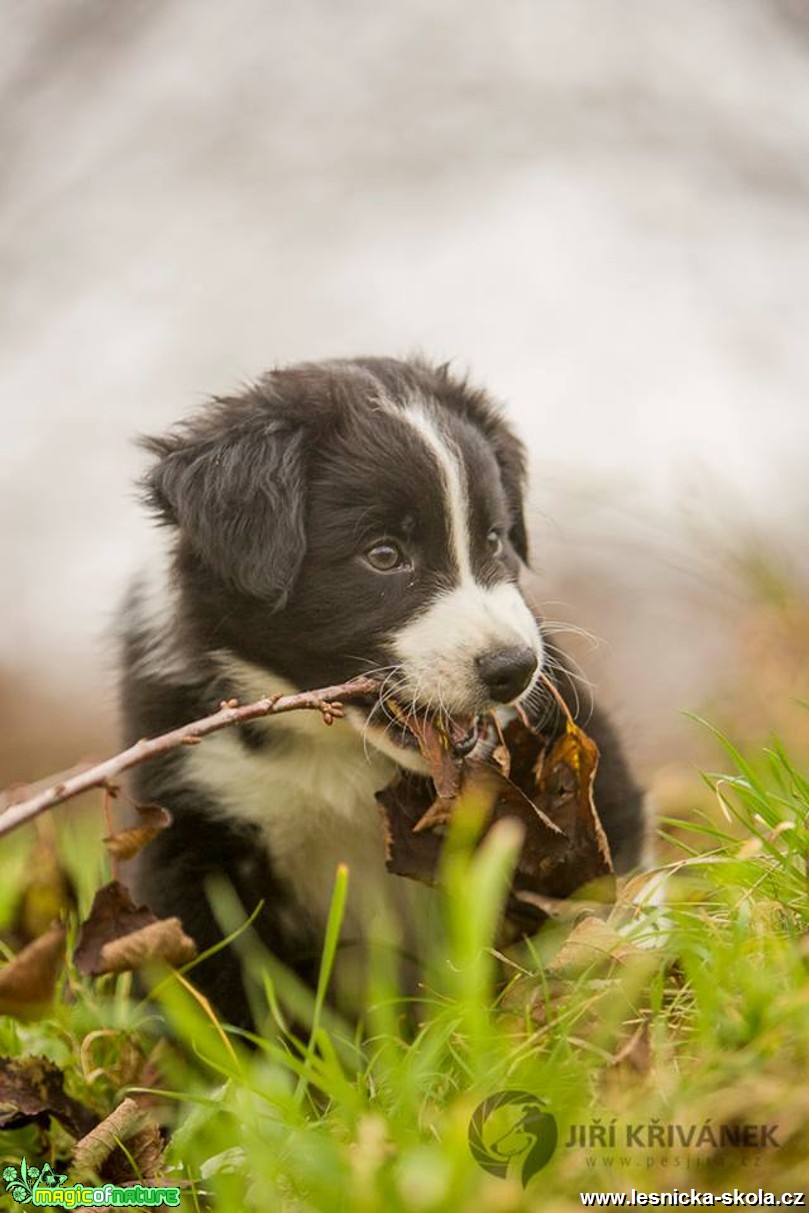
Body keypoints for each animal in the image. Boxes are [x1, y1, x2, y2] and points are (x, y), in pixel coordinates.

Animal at [121, 354, 645, 1028]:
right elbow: (226, 995)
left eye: (494, 540)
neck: (340, 752)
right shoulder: (193, 821)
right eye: (384, 555)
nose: (514, 668)